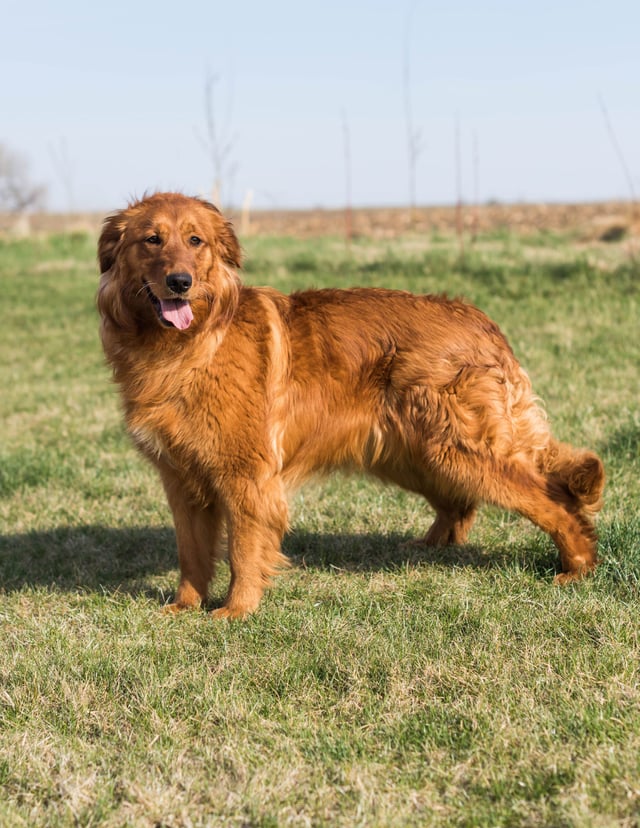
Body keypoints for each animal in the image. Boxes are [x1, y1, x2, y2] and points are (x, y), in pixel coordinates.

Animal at [99, 194, 604, 616]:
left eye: (195, 241)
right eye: (152, 240)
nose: (179, 282)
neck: (191, 342)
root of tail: (479, 318)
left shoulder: (245, 476)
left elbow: (243, 551)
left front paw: (235, 611)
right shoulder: (181, 480)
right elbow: (191, 553)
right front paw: (184, 607)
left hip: (459, 451)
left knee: (552, 497)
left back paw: (577, 565)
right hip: (415, 454)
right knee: (461, 505)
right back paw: (428, 548)